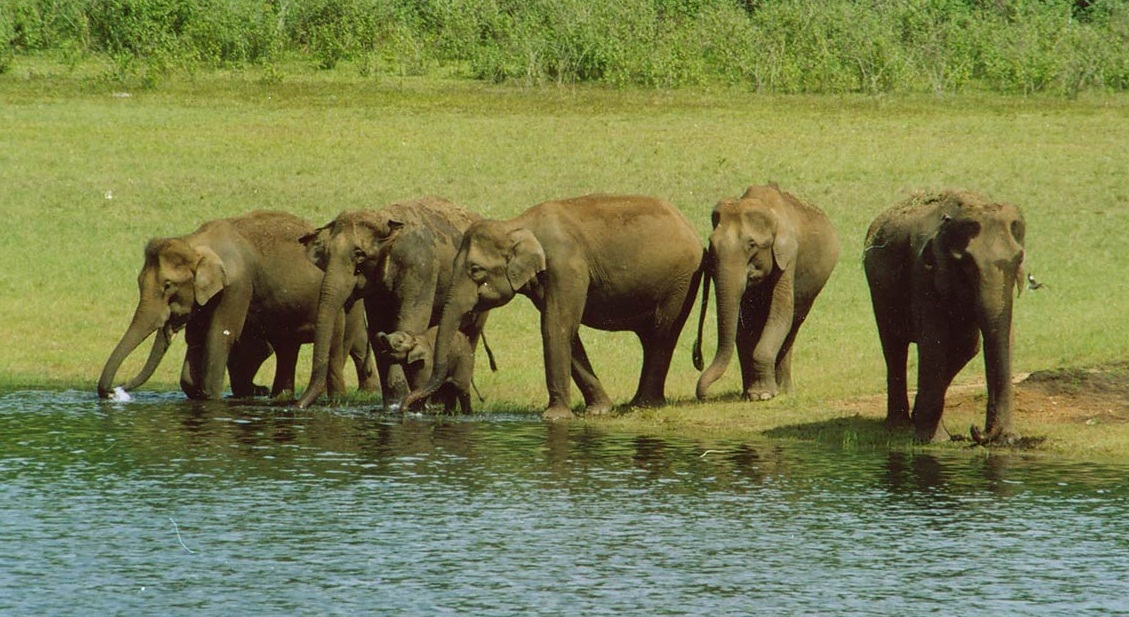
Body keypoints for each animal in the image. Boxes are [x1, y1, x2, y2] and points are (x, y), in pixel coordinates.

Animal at [97, 209, 379, 401]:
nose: (114, 391)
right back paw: (279, 397)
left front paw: (212, 397)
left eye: (167, 286)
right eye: (138, 282)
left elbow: (220, 335)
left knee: (344, 344)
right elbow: (197, 339)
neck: (196, 242)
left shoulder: (237, 285)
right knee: (287, 347)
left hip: (347, 303)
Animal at [293, 198, 483, 410]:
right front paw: (392, 405)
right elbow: (377, 328)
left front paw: (398, 405)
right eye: (326, 254)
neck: (383, 217)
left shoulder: (421, 268)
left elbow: (409, 321)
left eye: (359, 254)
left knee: (470, 333)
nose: (297, 406)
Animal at [401, 195, 704, 421]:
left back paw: (644, 405)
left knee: (662, 334)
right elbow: (567, 331)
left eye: (476, 270)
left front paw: (554, 417)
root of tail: (689, 226)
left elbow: (555, 326)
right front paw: (599, 410)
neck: (517, 224)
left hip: (680, 280)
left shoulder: (566, 265)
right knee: (652, 337)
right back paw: (635, 403)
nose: (405, 408)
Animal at [686, 186, 839, 403]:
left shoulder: (788, 258)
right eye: (711, 243)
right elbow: (743, 327)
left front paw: (763, 395)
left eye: (752, 245)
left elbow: (780, 316)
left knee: (792, 326)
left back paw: (784, 391)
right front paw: (751, 394)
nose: (704, 395)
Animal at [858, 188, 1029, 444]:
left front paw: (1009, 440)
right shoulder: (923, 272)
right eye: (967, 263)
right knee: (894, 347)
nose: (978, 431)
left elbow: (999, 338)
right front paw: (934, 439)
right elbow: (934, 341)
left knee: (967, 346)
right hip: (879, 290)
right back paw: (899, 426)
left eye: (1019, 259)